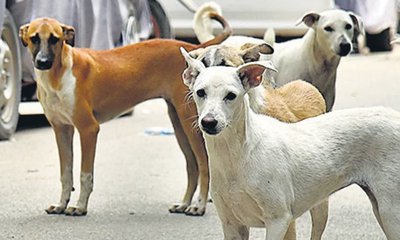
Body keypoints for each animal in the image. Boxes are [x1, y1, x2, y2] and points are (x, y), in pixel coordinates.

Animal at [19, 15, 231, 217]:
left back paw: (199, 206)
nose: (43, 62)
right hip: (178, 123)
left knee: (204, 166)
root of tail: (192, 47)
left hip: (190, 125)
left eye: (55, 39)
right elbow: (66, 174)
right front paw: (61, 205)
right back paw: (184, 203)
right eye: (34, 38)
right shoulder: (61, 130)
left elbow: (85, 174)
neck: (58, 75)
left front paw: (79, 207)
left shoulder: (88, 129)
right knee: (192, 166)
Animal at [180, 47, 400, 240]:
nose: (209, 122)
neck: (238, 155)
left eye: (231, 96)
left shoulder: (278, 220)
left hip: (387, 212)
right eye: (200, 92)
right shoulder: (232, 225)